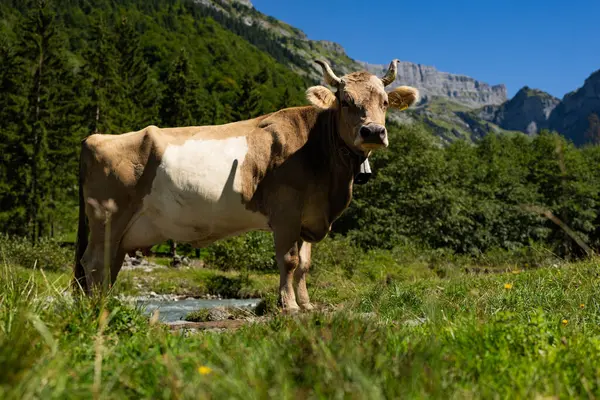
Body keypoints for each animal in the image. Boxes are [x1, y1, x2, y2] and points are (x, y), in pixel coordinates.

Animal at [72, 59, 420, 312]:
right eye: (345, 101)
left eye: (385, 102)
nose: (373, 132)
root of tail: (94, 138)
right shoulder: (286, 213)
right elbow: (289, 260)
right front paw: (289, 306)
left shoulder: (308, 217)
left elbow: (305, 264)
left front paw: (307, 305)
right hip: (108, 215)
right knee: (93, 263)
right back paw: (97, 309)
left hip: (123, 230)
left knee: (109, 265)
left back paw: (104, 304)